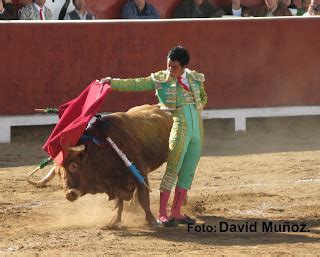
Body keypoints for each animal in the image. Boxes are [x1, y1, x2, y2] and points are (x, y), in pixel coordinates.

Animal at [28, 104, 172, 228]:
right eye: (58, 173)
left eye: (73, 166)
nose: (69, 194)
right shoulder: (115, 183)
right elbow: (118, 202)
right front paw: (114, 221)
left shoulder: (140, 170)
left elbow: (144, 198)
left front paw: (151, 221)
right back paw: (132, 206)